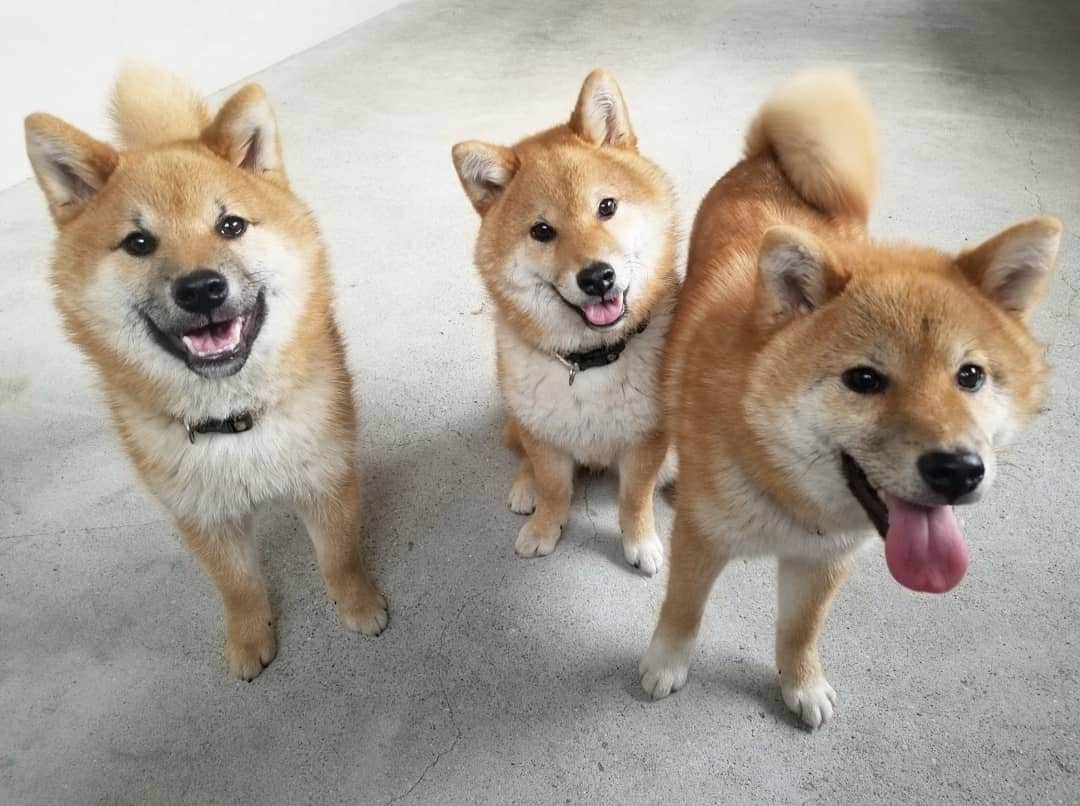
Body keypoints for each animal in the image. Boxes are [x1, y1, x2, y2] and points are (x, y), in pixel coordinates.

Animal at [23, 67, 388, 678]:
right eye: (138, 242)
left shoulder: (326, 478)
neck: (235, 419)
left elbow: (339, 557)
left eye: (231, 225)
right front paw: (249, 639)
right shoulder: (202, 516)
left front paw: (358, 604)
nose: (199, 288)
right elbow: (238, 587)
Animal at [451, 69, 678, 570]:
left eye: (607, 207)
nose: (597, 277)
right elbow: (555, 487)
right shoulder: (545, 438)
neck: (590, 363)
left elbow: (636, 498)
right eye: (542, 231)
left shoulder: (648, 440)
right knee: (524, 455)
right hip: (521, 417)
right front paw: (544, 527)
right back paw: (525, 486)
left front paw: (640, 542)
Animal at [639, 67, 1062, 721]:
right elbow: (683, 612)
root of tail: (768, 158)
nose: (957, 470)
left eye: (970, 375)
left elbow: (800, 630)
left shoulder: (825, 561)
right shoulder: (701, 541)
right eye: (864, 379)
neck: (792, 498)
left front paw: (801, 684)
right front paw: (665, 666)